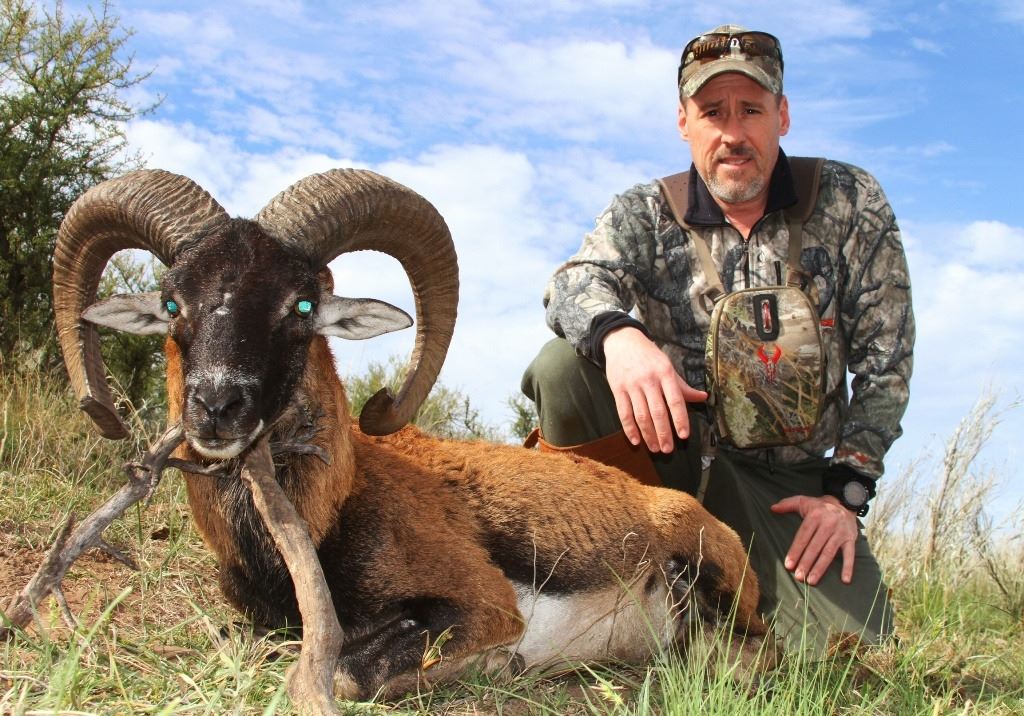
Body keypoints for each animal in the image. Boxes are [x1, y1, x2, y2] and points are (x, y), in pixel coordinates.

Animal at [52, 168, 771, 700]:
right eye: (173, 301)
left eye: (303, 304)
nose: (217, 404)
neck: (329, 514)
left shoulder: (480, 606)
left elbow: (348, 674)